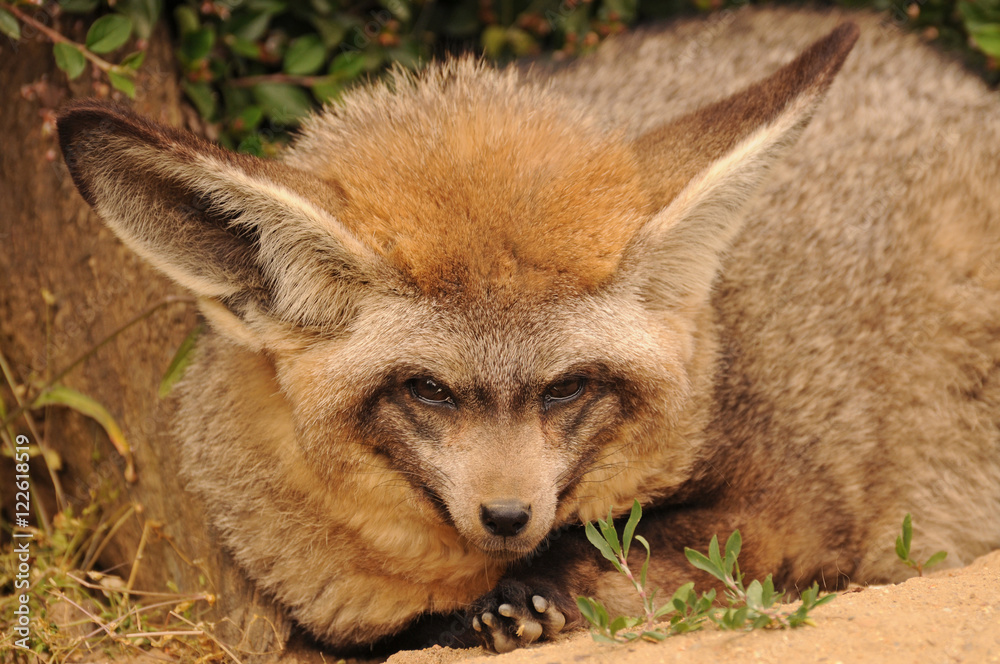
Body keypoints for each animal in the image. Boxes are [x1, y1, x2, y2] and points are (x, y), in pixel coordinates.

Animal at [55, 6, 1000, 655]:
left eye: (568, 387)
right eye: (428, 390)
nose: (509, 515)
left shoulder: (790, 510)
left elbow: (622, 550)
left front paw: (527, 596)